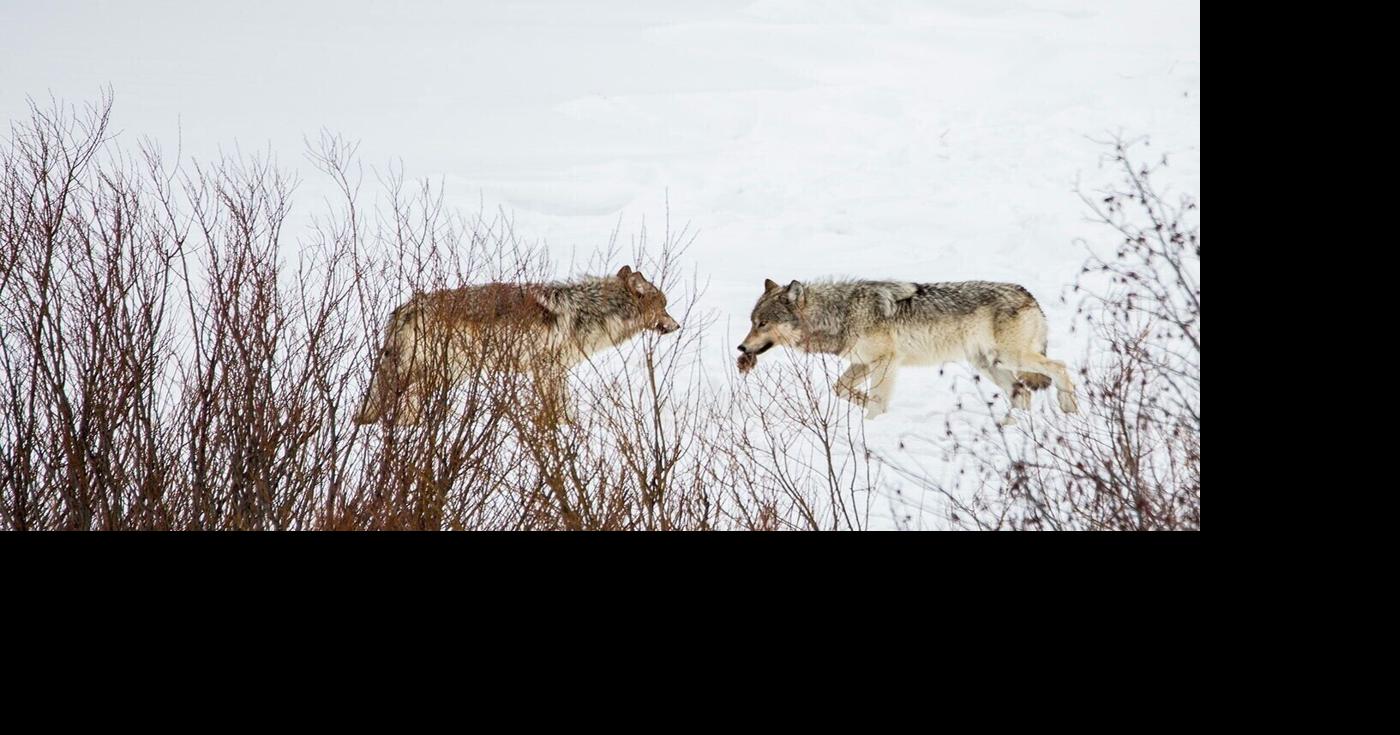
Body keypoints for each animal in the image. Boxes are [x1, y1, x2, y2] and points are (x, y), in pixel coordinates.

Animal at [353, 265, 680, 425]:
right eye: (664, 306)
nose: (678, 326)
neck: (591, 310)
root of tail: (404, 308)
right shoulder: (549, 368)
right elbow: (560, 408)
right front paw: (564, 429)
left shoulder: (548, 370)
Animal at [737, 279, 1078, 422]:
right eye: (752, 322)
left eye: (762, 324)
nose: (741, 347)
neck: (841, 313)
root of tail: (1028, 294)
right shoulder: (864, 363)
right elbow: (841, 389)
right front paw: (865, 405)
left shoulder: (886, 362)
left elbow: (876, 401)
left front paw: (873, 424)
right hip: (989, 364)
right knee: (1023, 395)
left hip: (1010, 358)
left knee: (1060, 367)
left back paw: (1068, 409)